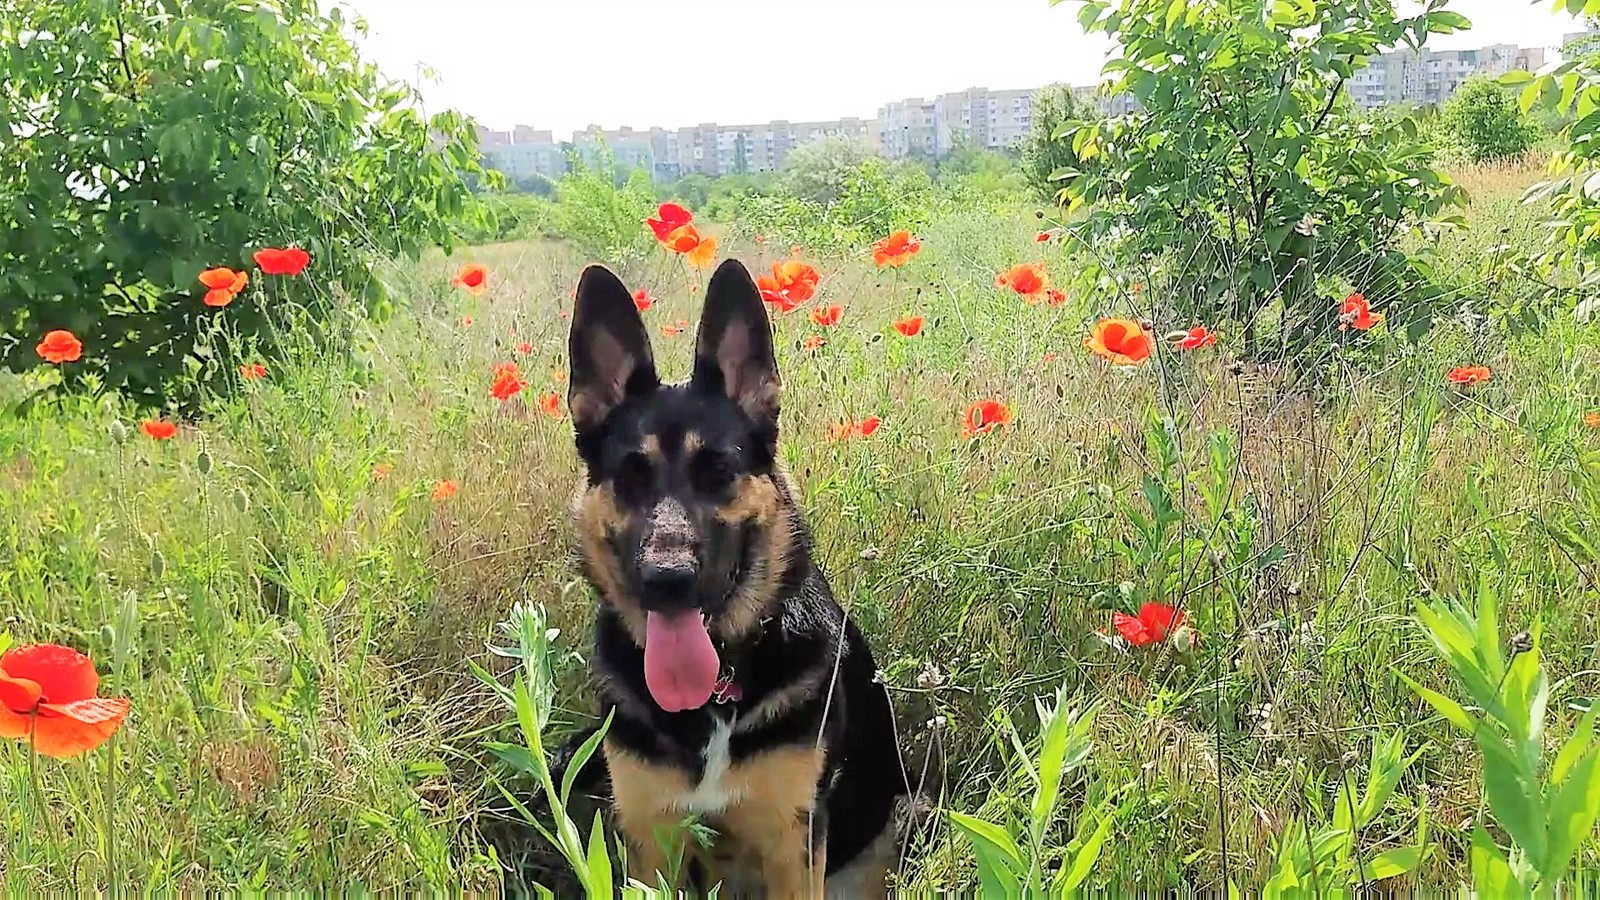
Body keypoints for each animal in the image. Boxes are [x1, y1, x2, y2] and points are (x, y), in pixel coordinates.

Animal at [569, 257, 908, 890]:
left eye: (719, 470)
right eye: (629, 476)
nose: (667, 579)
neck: (717, 693)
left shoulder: (793, 844)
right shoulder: (653, 840)